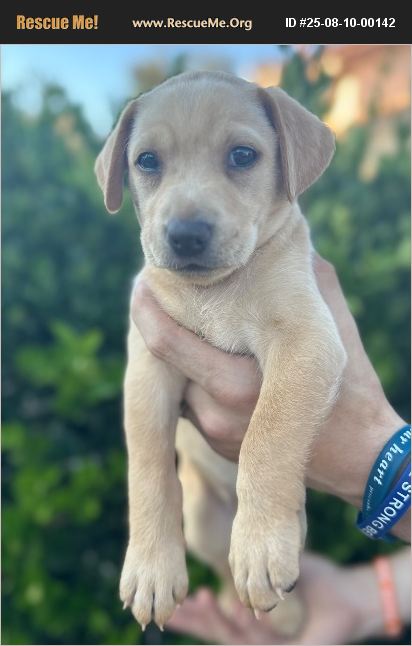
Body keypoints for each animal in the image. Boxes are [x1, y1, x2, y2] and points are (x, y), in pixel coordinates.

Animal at [95, 70, 346, 633]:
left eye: (242, 155)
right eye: (147, 161)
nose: (186, 235)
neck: (214, 294)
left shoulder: (307, 341)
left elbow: (267, 436)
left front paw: (260, 548)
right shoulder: (147, 371)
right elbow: (148, 468)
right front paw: (150, 569)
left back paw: (283, 605)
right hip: (204, 521)